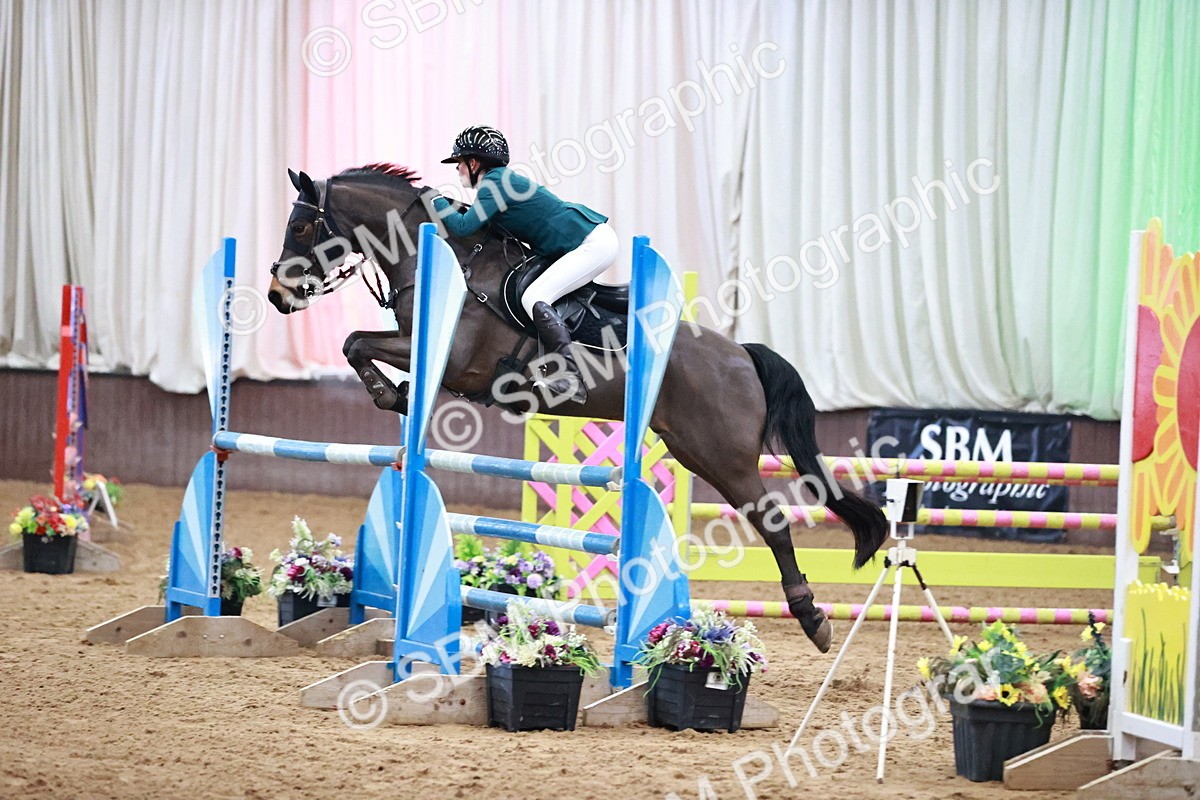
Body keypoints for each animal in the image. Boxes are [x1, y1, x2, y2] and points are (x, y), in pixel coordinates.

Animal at [267, 163, 888, 653]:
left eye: (299, 226)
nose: (277, 296)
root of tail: (740, 353)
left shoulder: (456, 362)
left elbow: (355, 343)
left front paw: (387, 392)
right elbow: (356, 344)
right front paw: (392, 394)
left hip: (723, 456)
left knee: (773, 523)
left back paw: (813, 620)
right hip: (693, 450)